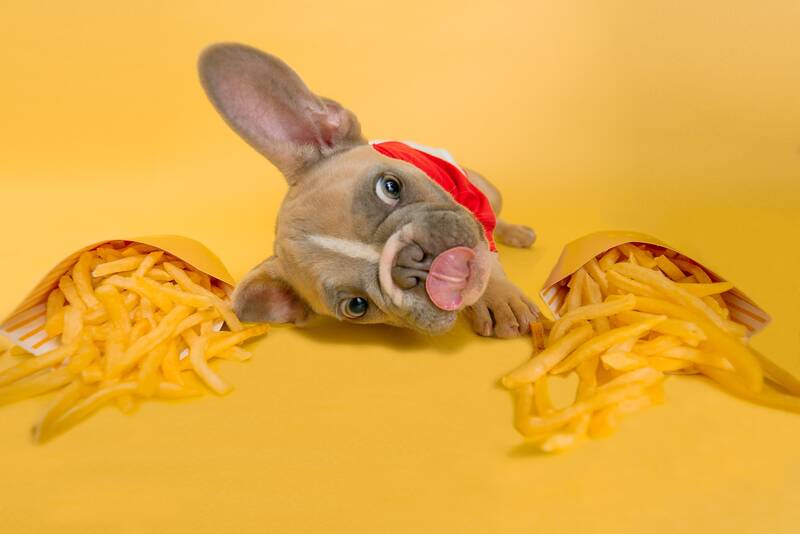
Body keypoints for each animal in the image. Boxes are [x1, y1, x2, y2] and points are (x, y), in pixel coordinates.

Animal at [197, 43, 540, 340]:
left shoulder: (472, 203)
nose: (414, 262)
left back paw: (517, 233)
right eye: (357, 306)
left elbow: (487, 249)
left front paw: (498, 296)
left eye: (390, 186)